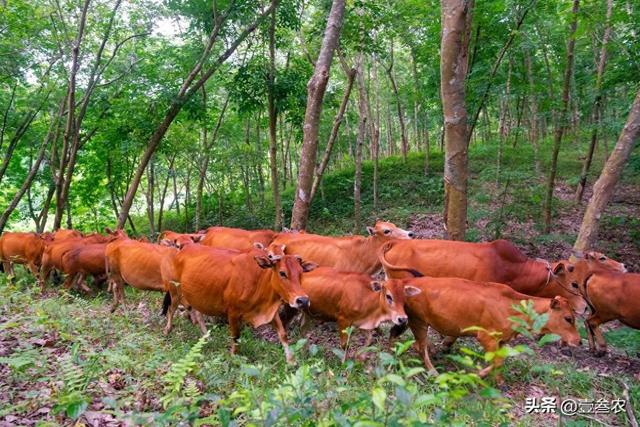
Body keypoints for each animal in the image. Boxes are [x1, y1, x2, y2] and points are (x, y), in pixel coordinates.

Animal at [162, 246, 316, 362]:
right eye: (282, 273)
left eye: (301, 273)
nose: (303, 300)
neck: (260, 279)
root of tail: (181, 251)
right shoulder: (233, 312)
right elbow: (236, 336)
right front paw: (233, 356)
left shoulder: (270, 312)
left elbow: (283, 334)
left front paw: (291, 361)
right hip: (175, 290)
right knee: (171, 309)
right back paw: (167, 330)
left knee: (197, 313)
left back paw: (206, 336)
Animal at [388, 280, 584, 380]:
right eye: (568, 318)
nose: (579, 341)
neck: (512, 308)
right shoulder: (485, 337)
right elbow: (497, 362)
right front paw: (477, 374)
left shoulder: (502, 340)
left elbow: (500, 361)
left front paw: (499, 381)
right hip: (419, 321)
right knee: (420, 347)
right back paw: (433, 371)